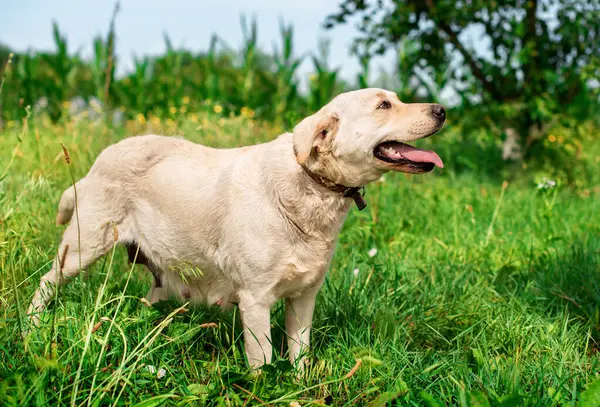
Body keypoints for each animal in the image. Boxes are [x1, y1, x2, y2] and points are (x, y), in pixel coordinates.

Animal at [28, 87, 446, 372]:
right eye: (383, 105)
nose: (442, 109)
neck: (311, 188)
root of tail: (100, 159)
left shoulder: (304, 298)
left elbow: (300, 357)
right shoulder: (255, 299)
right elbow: (262, 361)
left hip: (158, 275)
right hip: (82, 247)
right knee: (46, 283)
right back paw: (31, 327)